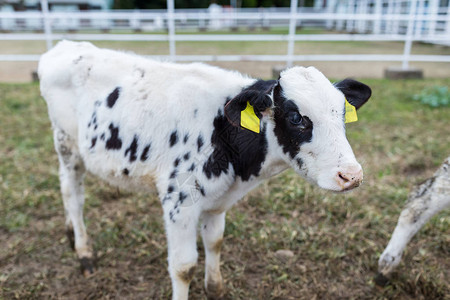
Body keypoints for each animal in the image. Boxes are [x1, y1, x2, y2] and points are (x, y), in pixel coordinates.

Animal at [37, 40, 370, 300]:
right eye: (296, 117)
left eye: (343, 113)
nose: (351, 175)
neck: (223, 131)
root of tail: (65, 47)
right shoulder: (178, 201)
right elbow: (183, 267)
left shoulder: (217, 201)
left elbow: (215, 243)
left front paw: (216, 289)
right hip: (67, 147)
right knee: (72, 194)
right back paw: (83, 251)